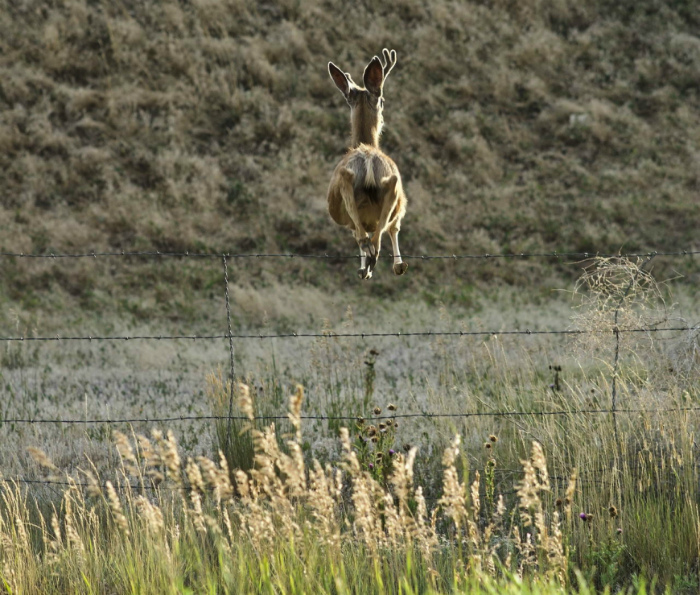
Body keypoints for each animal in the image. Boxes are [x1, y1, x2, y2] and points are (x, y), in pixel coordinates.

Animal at [326, 49, 408, 280]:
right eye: (383, 101)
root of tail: (369, 158)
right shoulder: (401, 206)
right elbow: (394, 227)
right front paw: (397, 265)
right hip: (393, 186)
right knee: (375, 236)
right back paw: (373, 260)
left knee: (363, 235)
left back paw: (367, 263)